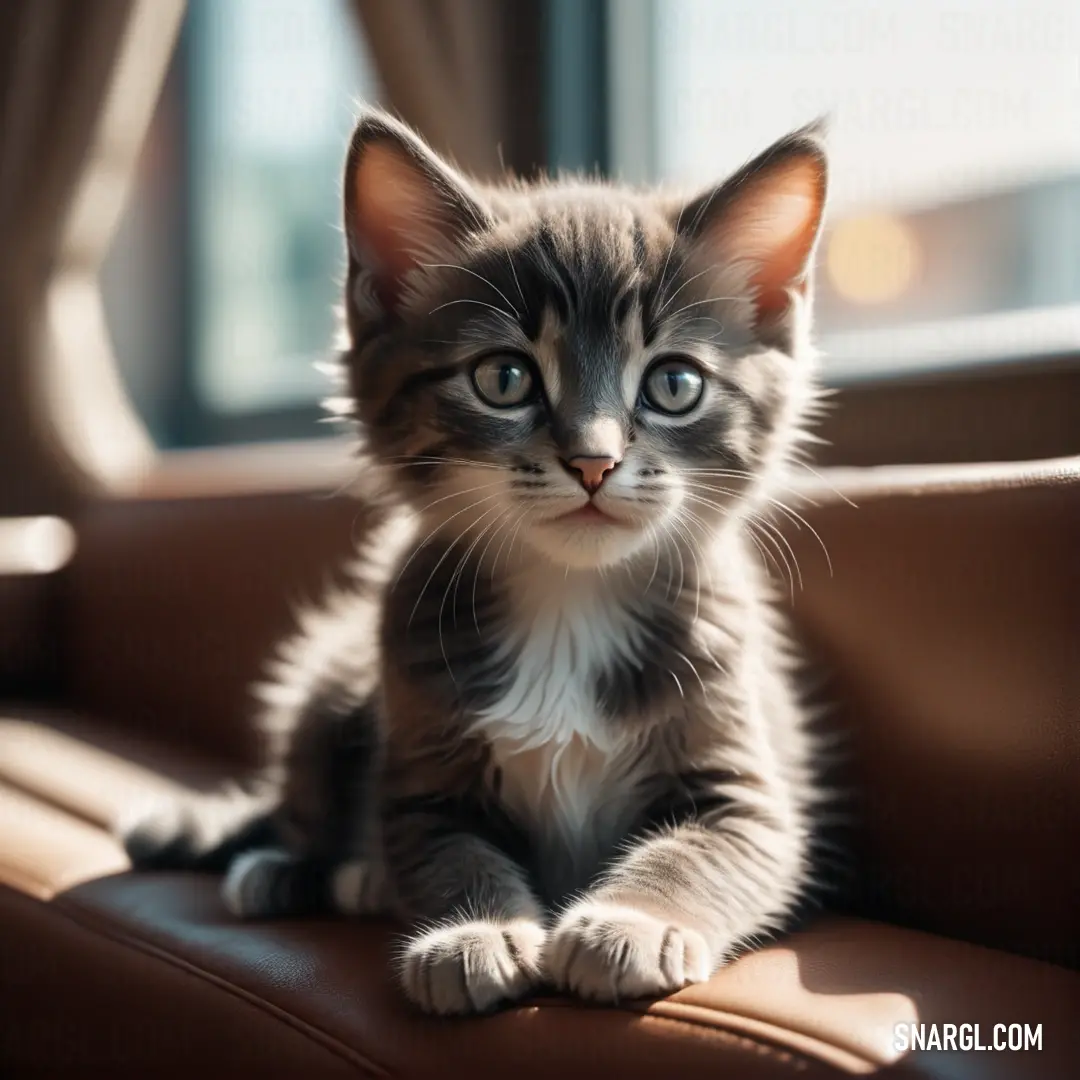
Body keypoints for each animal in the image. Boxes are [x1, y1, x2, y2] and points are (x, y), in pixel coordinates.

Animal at [120, 109, 825, 1019]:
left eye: (674, 384)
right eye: (504, 377)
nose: (593, 461)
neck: (569, 600)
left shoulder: (746, 781)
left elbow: (709, 847)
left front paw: (629, 923)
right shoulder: (420, 758)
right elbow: (446, 850)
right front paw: (474, 933)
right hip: (332, 687)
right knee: (298, 799)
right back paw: (300, 868)